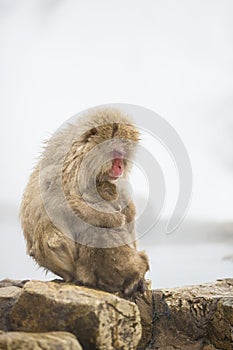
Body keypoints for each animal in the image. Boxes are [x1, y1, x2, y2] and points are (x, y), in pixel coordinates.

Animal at [19, 108, 147, 296]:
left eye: (123, 154)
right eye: (115, 152)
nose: (120, 167)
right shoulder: (63, 170)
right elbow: (58, 204)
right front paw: (111, 218)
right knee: (50, 227)